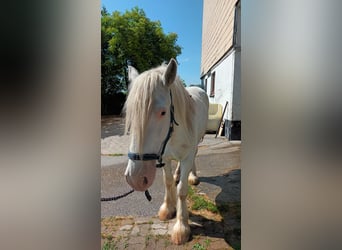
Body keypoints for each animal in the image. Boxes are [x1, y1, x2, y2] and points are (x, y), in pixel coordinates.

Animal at [123, 58, 208, 244]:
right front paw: (168, 208)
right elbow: (168, 182)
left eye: (163, 112)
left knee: (195, 155)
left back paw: (192, 175)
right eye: (130, 113)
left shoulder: (187, 155)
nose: (135, 179)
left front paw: (181, 227)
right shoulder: (165, 156)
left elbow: (182, 190)